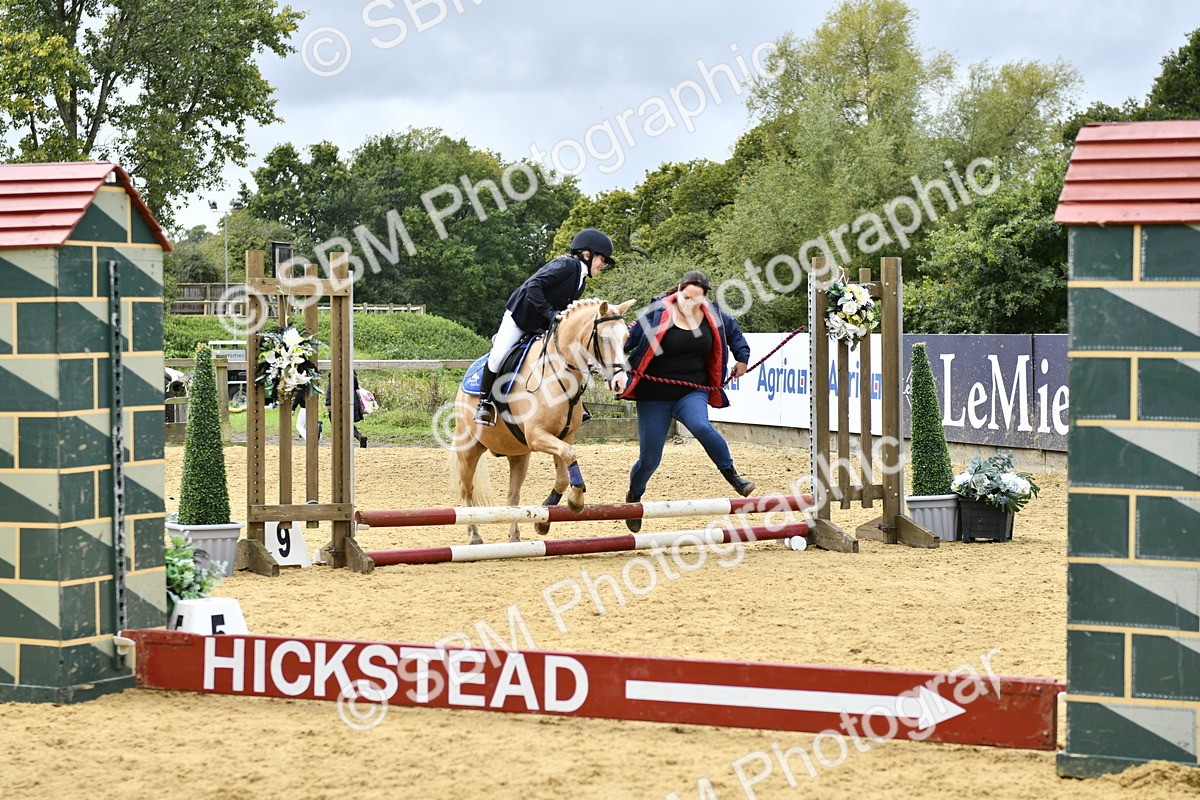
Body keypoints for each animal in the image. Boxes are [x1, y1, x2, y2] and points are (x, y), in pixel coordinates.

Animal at [453, 297, 636, 544]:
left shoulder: (563, 437)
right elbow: (568, 458)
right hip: (469, 449)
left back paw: (515, 537)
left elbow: (564, 475)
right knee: (466, 489)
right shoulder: (537, 436)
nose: (619, 382)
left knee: (513, 495)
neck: (559, 372)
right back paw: (474, 535)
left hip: (518, 454)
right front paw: (573, 502)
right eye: (605, 338)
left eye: (626, 339)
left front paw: (547, 517)